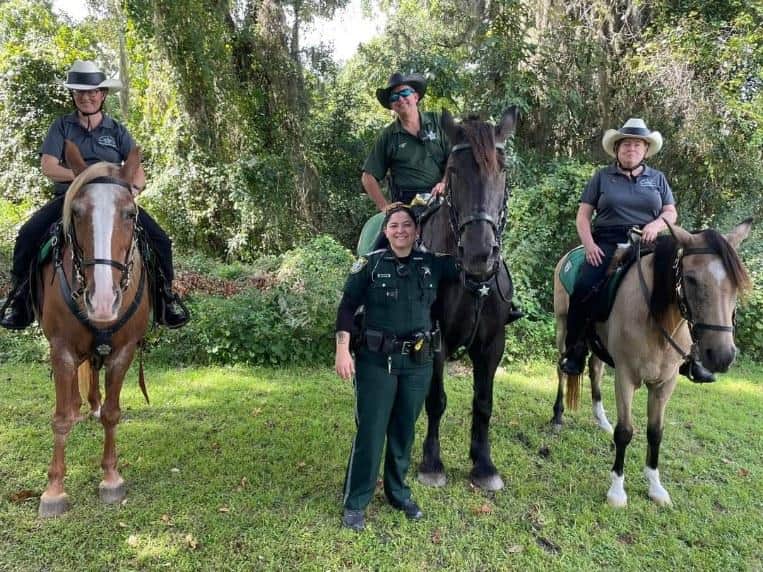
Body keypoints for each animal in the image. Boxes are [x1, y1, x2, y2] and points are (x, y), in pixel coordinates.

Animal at [34, 142, 151, 520]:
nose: (102, 301)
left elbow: (113, 414)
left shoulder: (124, 350)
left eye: (129, 214)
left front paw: (111, 479)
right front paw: (54, 490)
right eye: (77, 212)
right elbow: (59, 419)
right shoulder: (60, 348)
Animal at [414, 109, 524, 490]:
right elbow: (435, 399)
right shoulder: (435, 339)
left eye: (502, 170)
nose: (479, 254)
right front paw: (431, 463)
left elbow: (483, 402)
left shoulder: (492, 344)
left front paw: (484, 464)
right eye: (454, 171)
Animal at [552, 219, 756, 504]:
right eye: (690, 279)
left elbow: (655, 432)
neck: (656, 320)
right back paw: (558, 416)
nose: (721, 356)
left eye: (736, 285)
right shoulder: (625, 377)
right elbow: (625, 431)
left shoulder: (665, 383)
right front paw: (617, 491)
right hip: (562, 327)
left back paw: (601, 420)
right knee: (561, 369)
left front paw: (655, 486)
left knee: (595, 369)